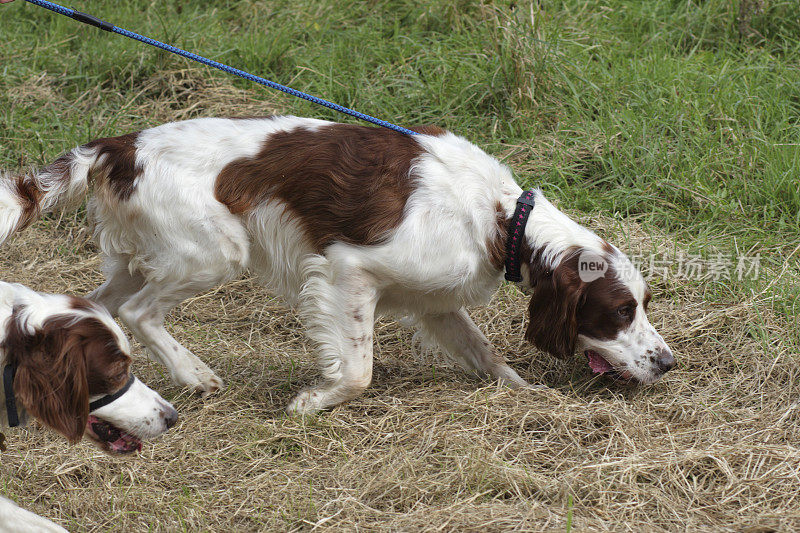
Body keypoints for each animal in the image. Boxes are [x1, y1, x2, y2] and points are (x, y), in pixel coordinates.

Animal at [0, 118, 676, 414]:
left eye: (642, 306)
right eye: (620, 311)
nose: (668, 363)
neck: (499, 218)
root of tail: (120, 147)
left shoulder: (436, 302)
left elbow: (485, 353)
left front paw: (523, 390)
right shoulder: (349, 270)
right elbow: (357, 370)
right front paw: (311, 401)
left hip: (139, 260)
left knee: (104, 308)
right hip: (214, 253)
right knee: (142, 313)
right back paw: (196, 376)